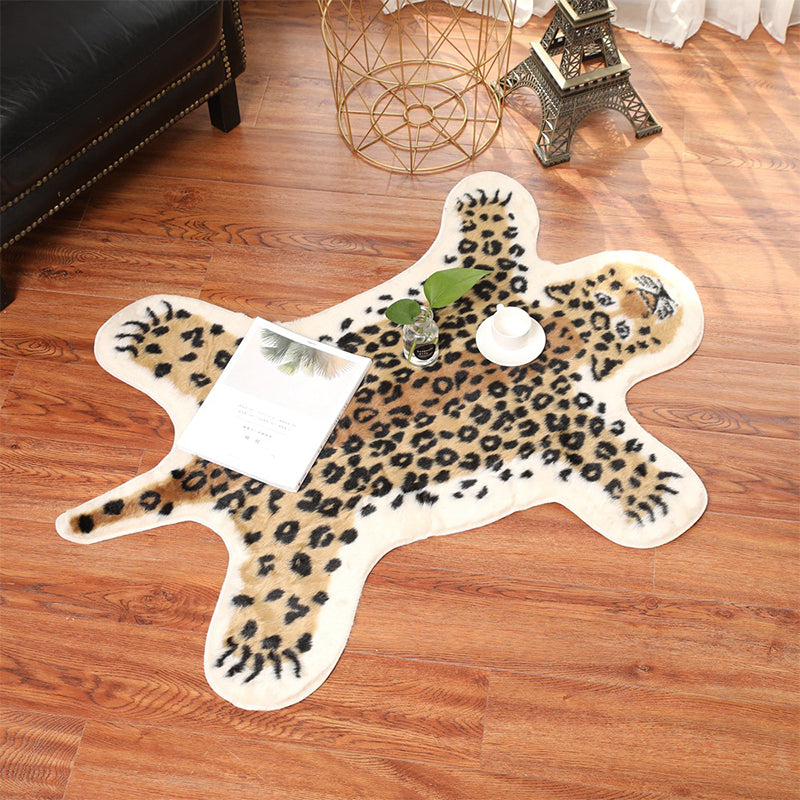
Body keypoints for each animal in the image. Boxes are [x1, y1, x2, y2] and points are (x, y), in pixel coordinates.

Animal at [57, 172, 706, 710]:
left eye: (639, 305)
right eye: (623, 299)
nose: (657, 291)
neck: (572, 323)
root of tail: (204, 473)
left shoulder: (568, 410)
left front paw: (657, 493)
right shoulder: (513, 312)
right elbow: (489, 244)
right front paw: (486, 204)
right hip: (284, 487)